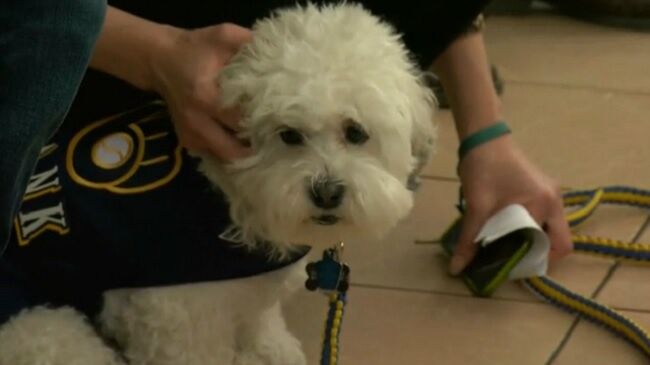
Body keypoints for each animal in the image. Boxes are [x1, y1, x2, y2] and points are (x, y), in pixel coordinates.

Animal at [1, 1, 436, 362]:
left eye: (355, 132)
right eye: (289, 135)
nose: (326, 193)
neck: (231, 197)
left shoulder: (248, 292)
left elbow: (260, 319)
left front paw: (271, 349)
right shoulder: (173, 314)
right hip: (46, 332)